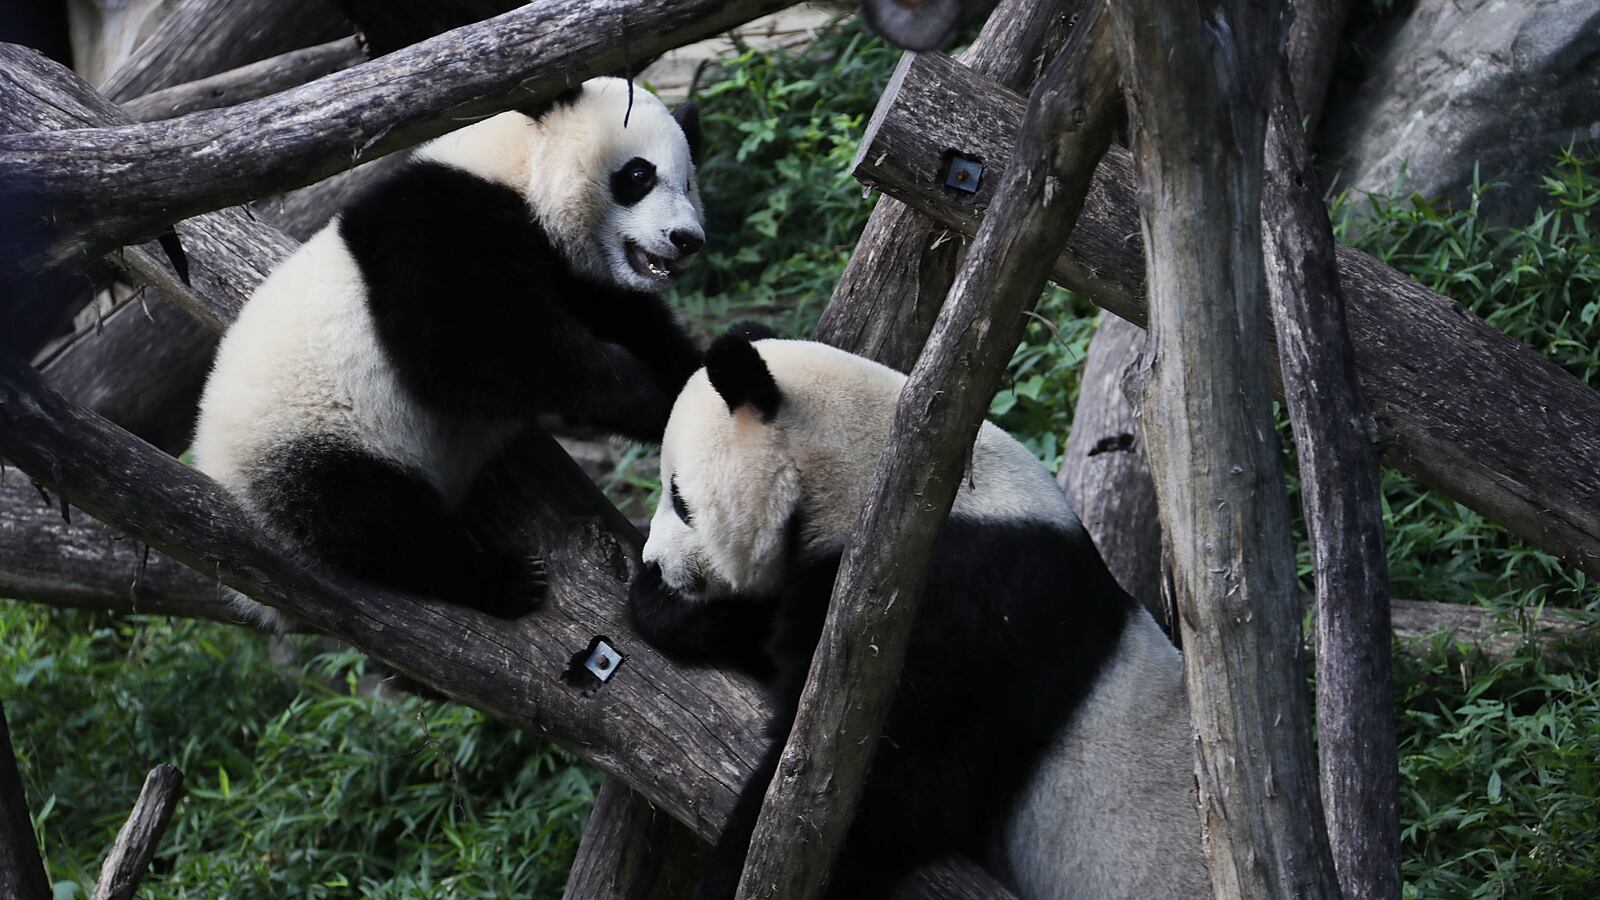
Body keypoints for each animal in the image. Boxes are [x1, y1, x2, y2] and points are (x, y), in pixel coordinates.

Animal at [193, 77, 705, 629]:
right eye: (638, 174)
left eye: (688, 183)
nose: (687, 239)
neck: (517, 169)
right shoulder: (440, 229)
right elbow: (466, 352)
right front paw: (640, 394)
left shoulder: (576, 273)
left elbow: (639, 328)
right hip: (305, 442)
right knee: (376, 521)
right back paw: (503, 581)